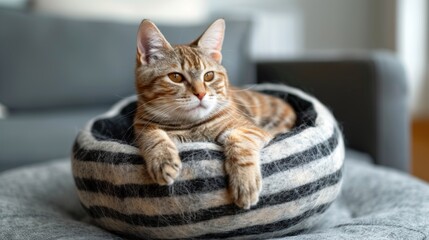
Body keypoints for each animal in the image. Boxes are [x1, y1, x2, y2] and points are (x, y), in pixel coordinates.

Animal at [133, 18, 294, 208]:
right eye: (175, 77)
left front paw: (244, 181)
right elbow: (152, 135)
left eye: (209, 76)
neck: (190, 124)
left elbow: (239, 140)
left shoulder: (251, 128)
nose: (200, 94)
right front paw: (162, 159)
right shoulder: (141, 124)